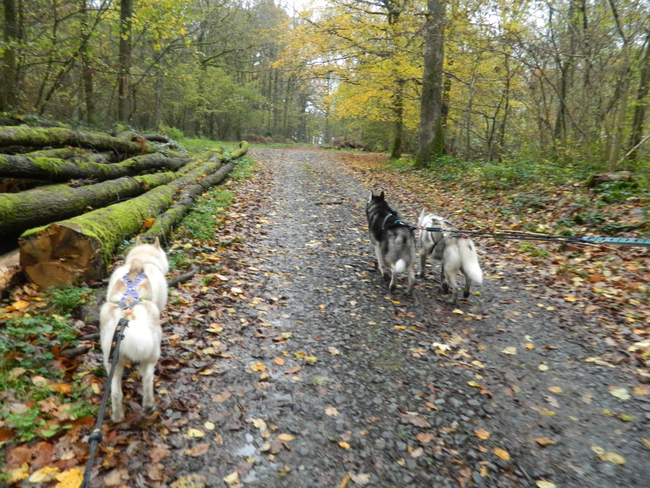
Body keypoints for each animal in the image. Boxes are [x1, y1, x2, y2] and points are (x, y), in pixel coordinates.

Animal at [99, 238, 167, 422]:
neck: (143, 260)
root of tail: (130, 314)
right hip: (154, 351)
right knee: (148, 377)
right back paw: (149, 405)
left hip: (111, 359)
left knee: (115, 392)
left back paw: (117, 416)